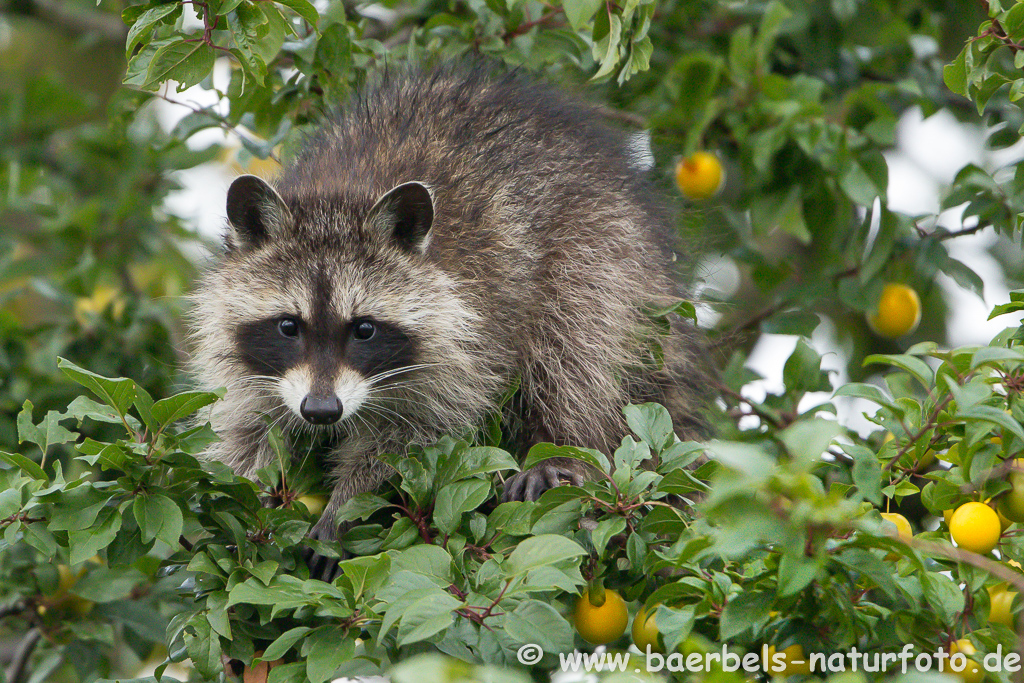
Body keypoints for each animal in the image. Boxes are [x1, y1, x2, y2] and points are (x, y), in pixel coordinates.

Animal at [186, 58, 712, 548]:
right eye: (288, 326)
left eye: (364, 329)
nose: (320, 411)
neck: (338, 197)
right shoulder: (252, 363)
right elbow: (246, 426)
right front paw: (244, 491)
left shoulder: (464, 340)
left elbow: (416, 433)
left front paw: (349, 500)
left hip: (605, 248)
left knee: (576, 348)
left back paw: (564, 447)